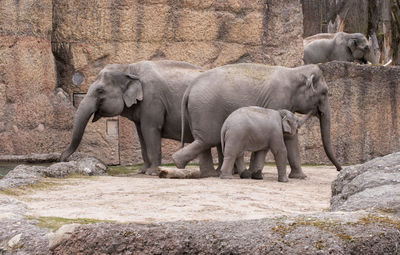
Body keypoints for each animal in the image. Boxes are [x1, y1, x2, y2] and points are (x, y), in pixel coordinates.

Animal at [59, 59, 217, 175]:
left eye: (100, 91)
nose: (63, 159)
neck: (129, 68)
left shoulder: (152, 100)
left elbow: (150, 130)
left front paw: (152, 173)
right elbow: (141, 135)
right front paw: (142, 171)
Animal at [172, 63, 340, 178]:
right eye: (324, 92)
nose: (339, 170)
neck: (295, 71)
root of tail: (190, 88)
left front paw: (299, 177)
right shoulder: (277, 100)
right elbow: (289, 138)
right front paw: (300, 177)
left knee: (204, 141)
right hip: (205, 109)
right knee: (207, 140)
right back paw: (183, 165)